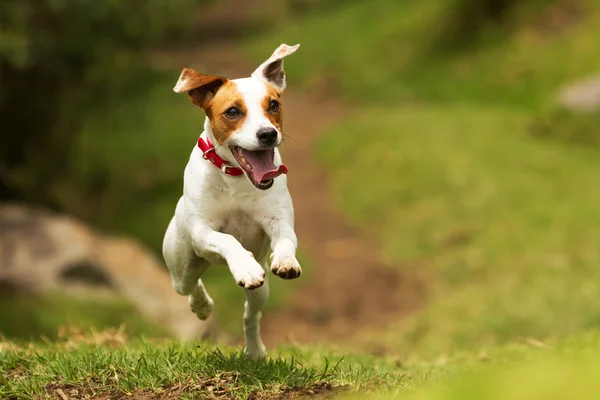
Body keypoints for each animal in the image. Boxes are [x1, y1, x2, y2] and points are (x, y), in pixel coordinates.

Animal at [162, 43, 302, 360]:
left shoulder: (279, 221)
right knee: (188, 285)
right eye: (233, 111)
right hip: (181, 264)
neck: (237, 178)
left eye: (273, 105)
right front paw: (244, 266)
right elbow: (227, 239)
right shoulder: (203, 232)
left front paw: (286, 260)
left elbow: (286, 240)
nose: (268, 134)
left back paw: (255, 350)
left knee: (251, 313)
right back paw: (201, 306)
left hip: (261, 292)